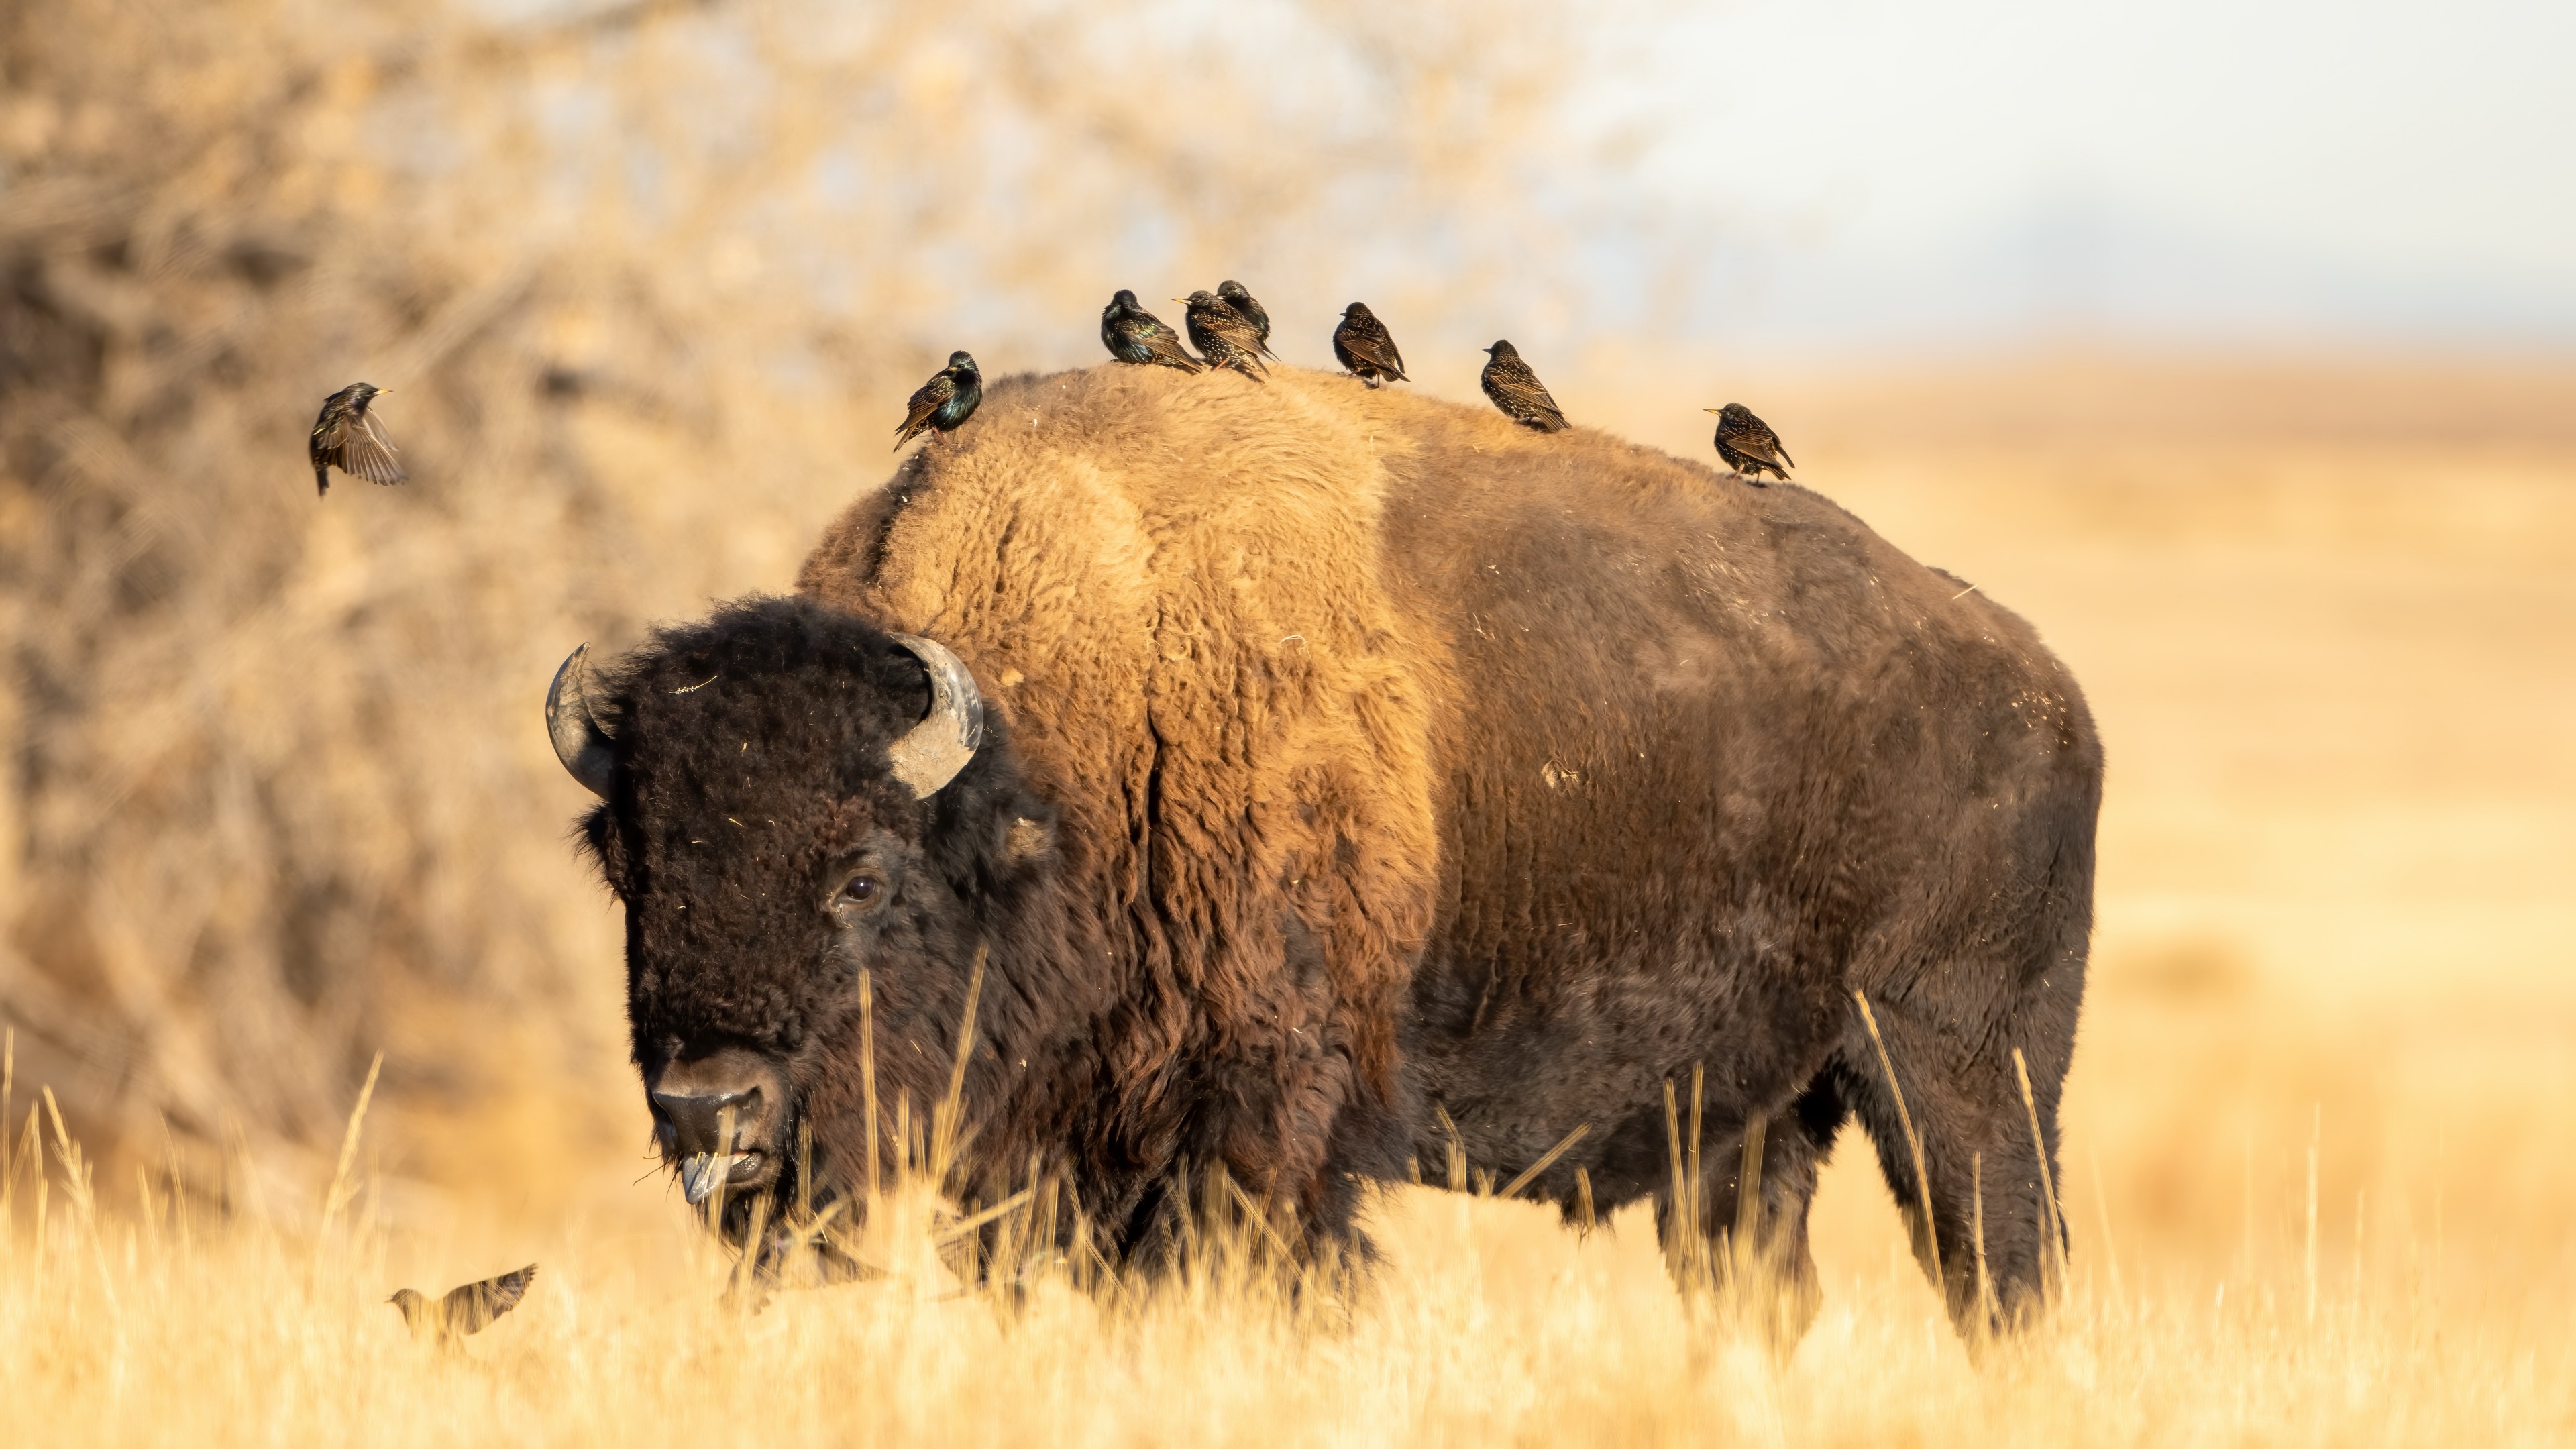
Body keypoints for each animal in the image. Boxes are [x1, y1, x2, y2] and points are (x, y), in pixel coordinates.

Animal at [547, 363, 2101, 1340]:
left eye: (863, 877)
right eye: (634, 872)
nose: (709, 1109)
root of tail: (2040, 684)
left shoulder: (1265, 1122)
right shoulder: (1061, 1153)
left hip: (1960, 1073)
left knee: (2001, 1270)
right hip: (1745, 1128)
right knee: (1760, 1283)